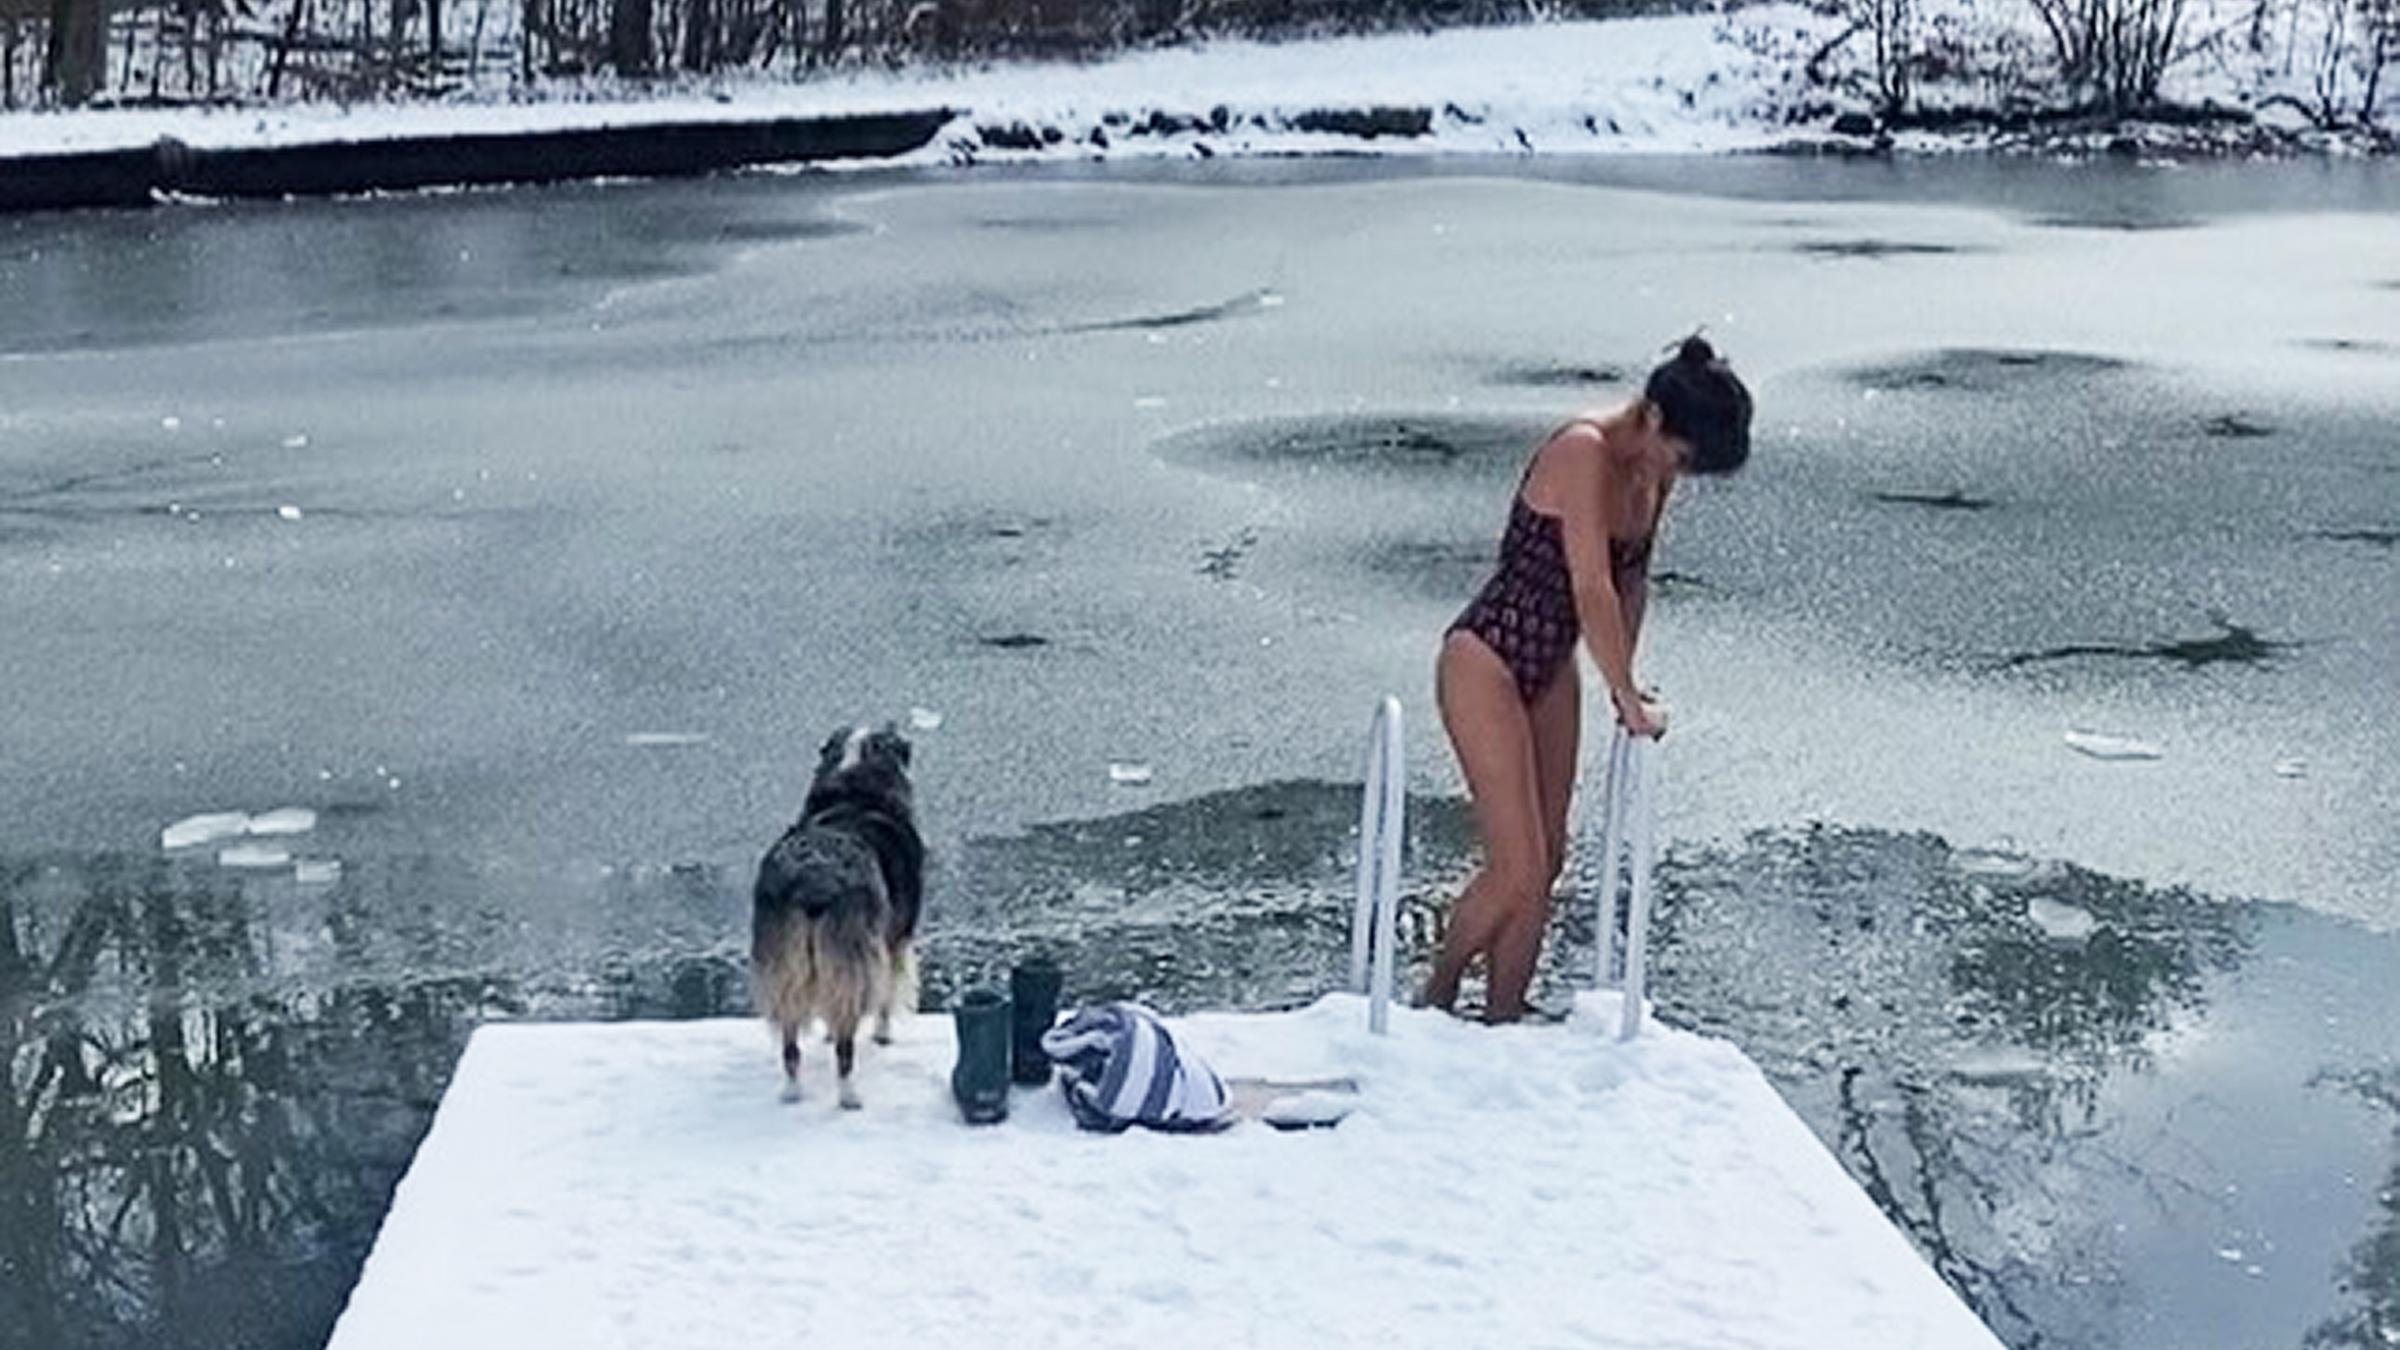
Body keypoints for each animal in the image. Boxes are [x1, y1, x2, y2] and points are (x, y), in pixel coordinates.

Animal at [753, 720, 921, 1109]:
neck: (855, 793)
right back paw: (849, 1095)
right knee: (845, 1047)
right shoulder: (894, 940)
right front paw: (883, 1036)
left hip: (783, 964)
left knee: (790, 1044)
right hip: (854, 954)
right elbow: (889, 991)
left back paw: (792, 1091)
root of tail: (812, 882)